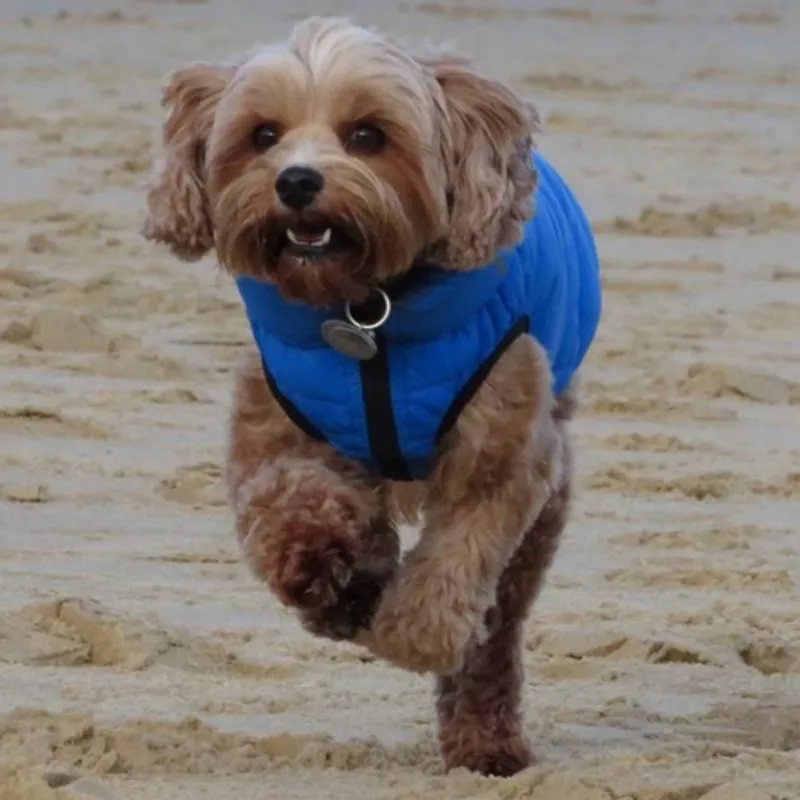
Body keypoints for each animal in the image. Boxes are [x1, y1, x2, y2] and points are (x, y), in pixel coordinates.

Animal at [142, 15, 600, 780]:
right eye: (263, 134)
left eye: (367, 135)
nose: (297, 180)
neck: (366, 312)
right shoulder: (277, 419)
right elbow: (285, 495)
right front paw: (320, 564)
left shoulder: (502, 453)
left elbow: (456, 562)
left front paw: (407, 632)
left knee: (496, 628)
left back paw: (486, 740)